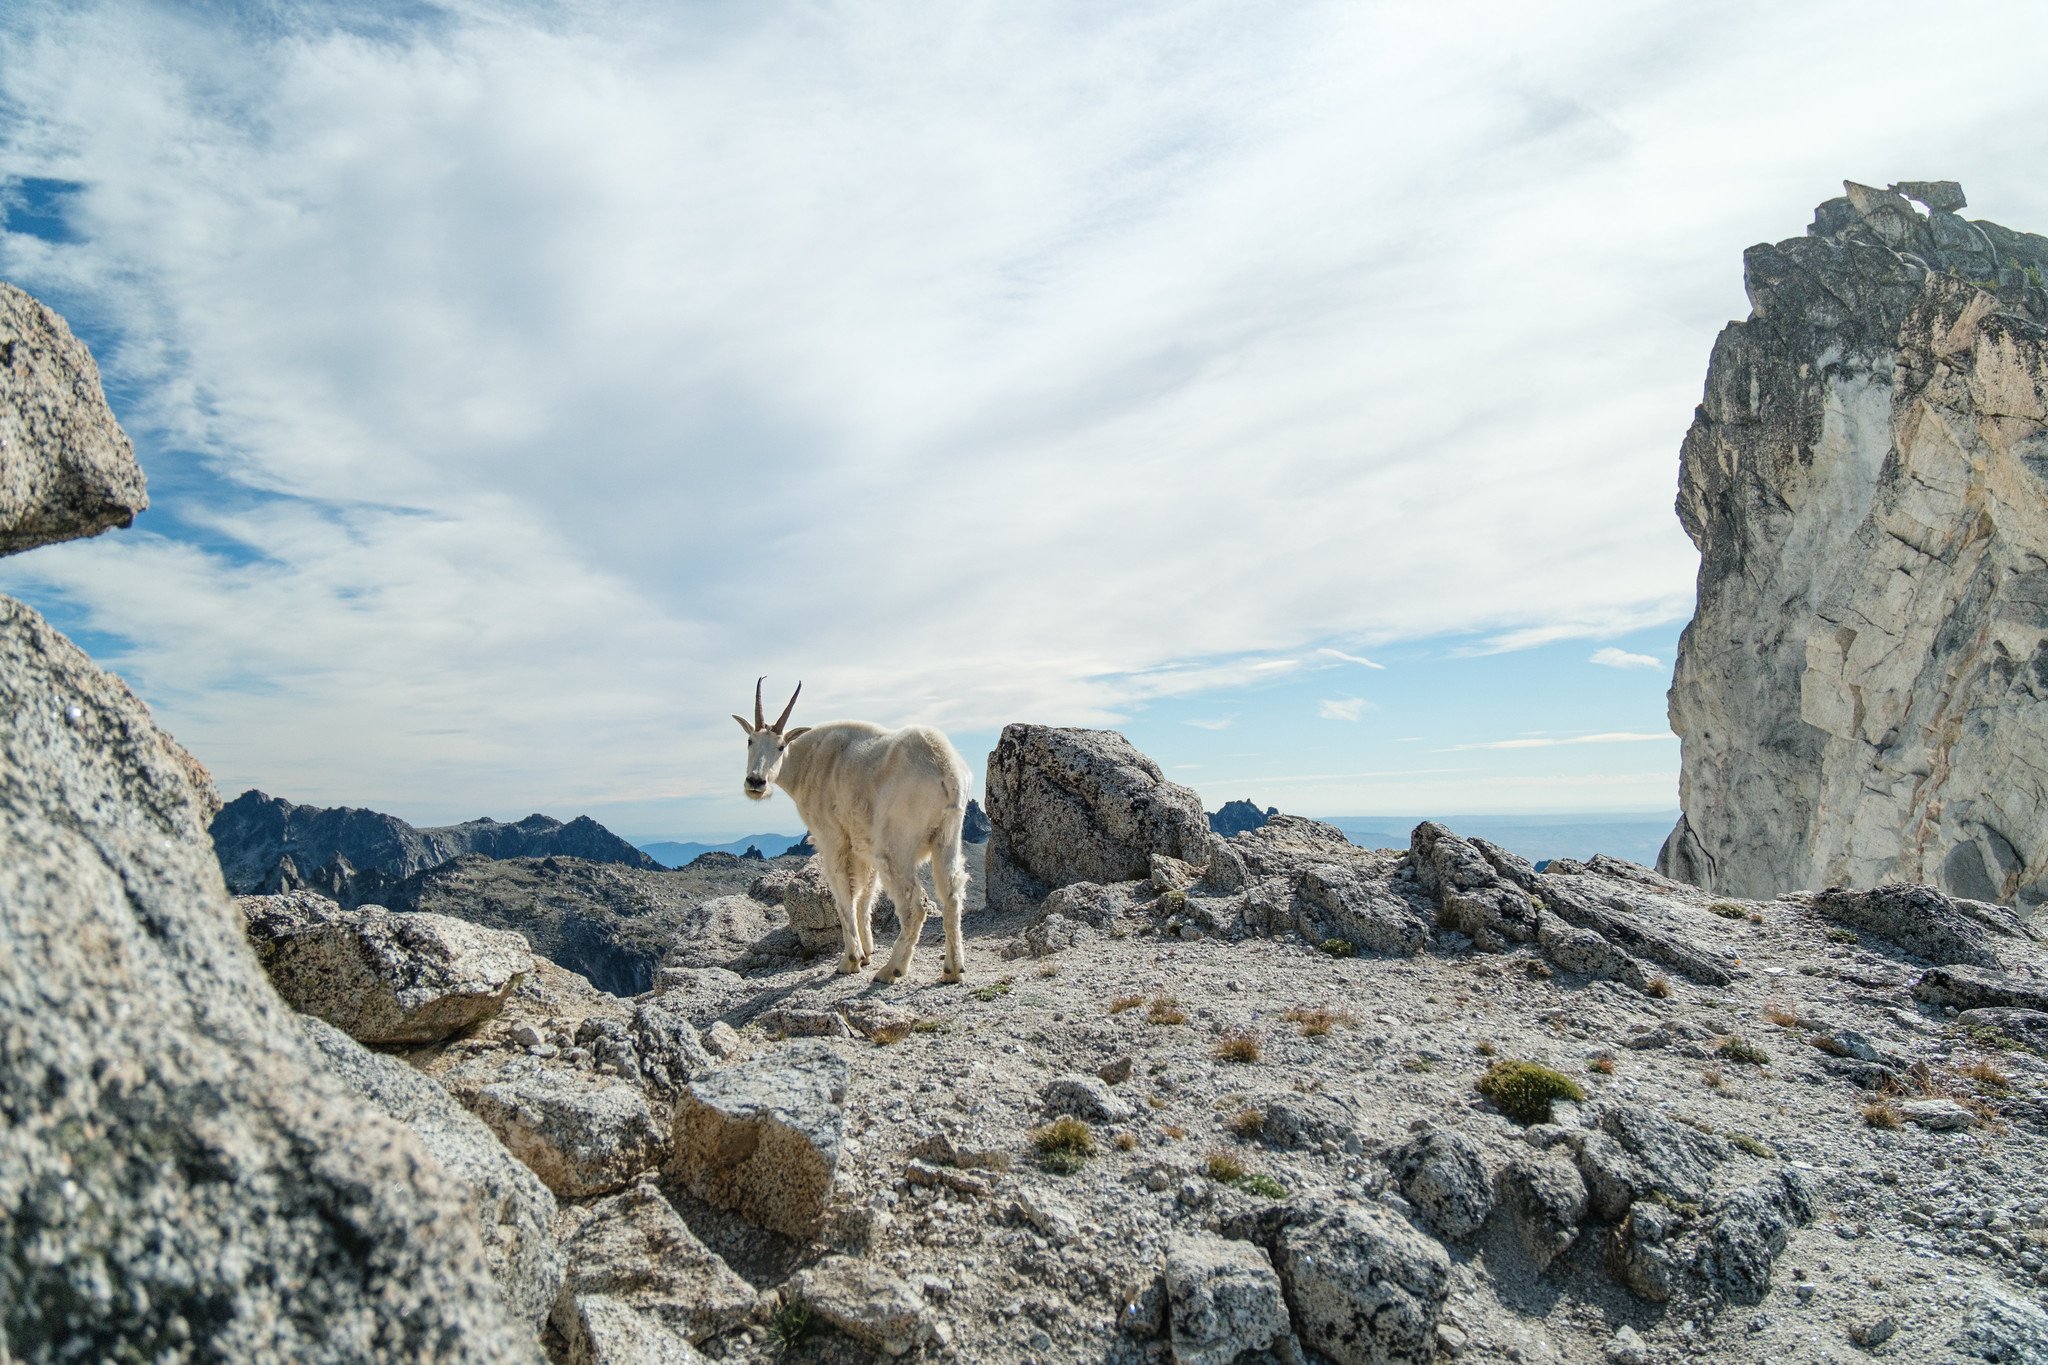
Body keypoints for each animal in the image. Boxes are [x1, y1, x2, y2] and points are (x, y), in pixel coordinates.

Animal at [734, 679, 973, 983]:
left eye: (780, 746)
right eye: (750, 741)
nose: (756, 782)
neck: (808, 762)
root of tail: (947, 771)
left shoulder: (832, 838)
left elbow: (843, 895)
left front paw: (851, 960)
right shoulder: (861, 844)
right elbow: (864, 893)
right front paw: (867, 951)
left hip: (896, 846)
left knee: (914, 905)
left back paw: (891, 969)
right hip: (948, 836)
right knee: (952, 894)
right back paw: (953, 969)